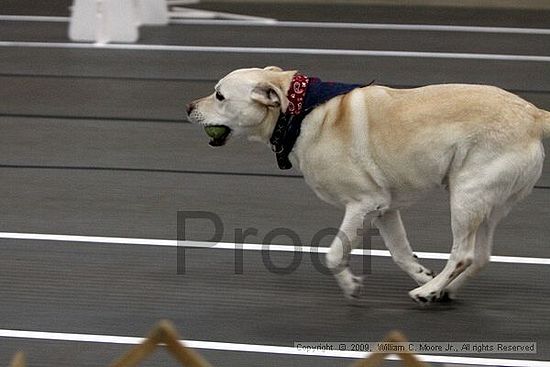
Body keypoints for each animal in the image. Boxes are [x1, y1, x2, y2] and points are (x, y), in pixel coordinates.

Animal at [189, 66, 550, 304]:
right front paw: (422, 273)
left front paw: (351, 286)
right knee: (480, 257)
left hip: (465, 198)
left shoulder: (362, 204)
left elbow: (334, 254)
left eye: (219, 95)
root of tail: (534, 114)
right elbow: (401, 253)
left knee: (463, 254)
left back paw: (428, 292)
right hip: (487, 206)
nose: (188, 107)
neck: (298, 112)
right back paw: (442, 289)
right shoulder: (384, 209)